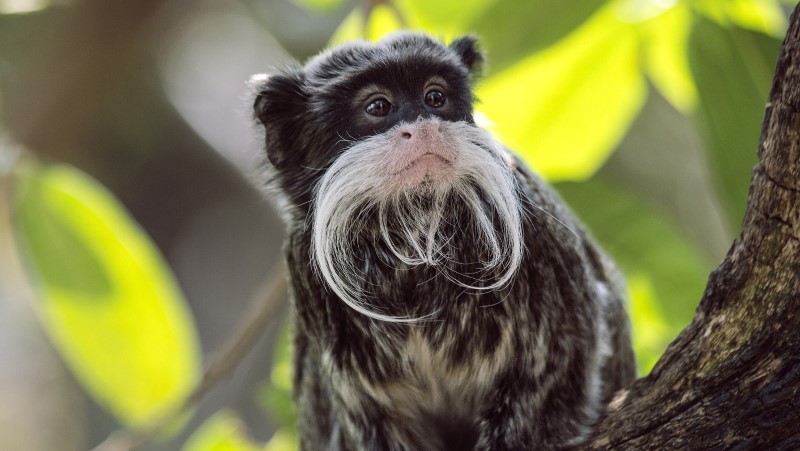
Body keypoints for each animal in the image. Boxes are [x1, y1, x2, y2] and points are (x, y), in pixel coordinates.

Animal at [253, 32, 636, 451]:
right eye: (378, 106)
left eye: (434, 98)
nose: (424, 126)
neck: (415, 236)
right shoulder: (306, 269)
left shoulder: (537, 230)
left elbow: (565, 349)